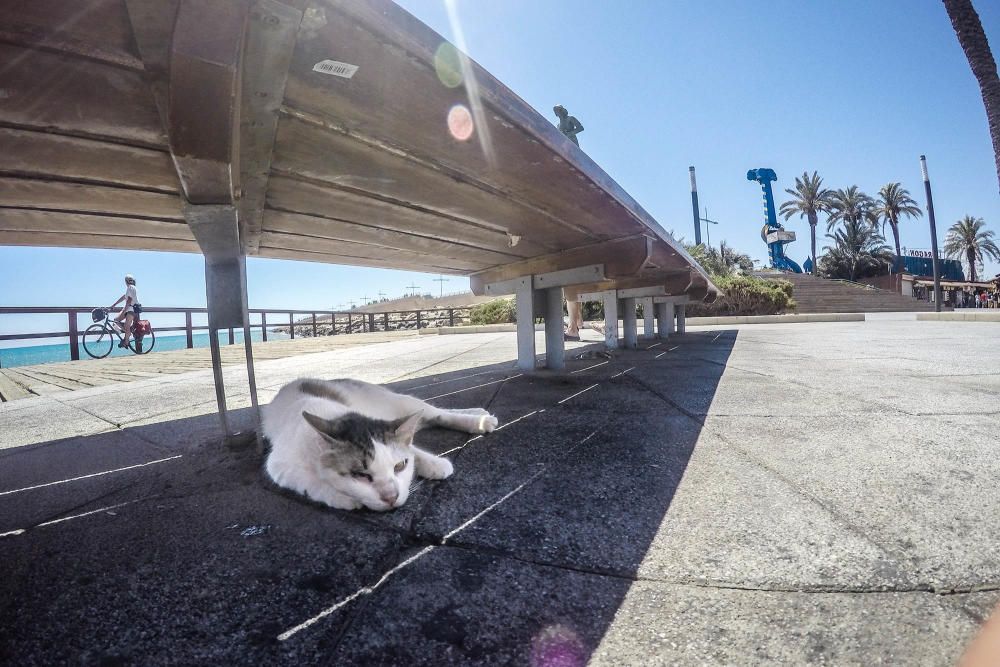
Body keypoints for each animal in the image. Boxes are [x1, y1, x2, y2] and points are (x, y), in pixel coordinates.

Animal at [264, 380, 498, 512]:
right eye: (360, 475)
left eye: (400, 466)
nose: (391, 497)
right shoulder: (278, 466)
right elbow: (311, 483)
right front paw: (342, 498)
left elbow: (413, 450)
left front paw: (435, 464)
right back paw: (480, 415)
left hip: (404, 403)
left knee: (439, 413)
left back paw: (479, 419)